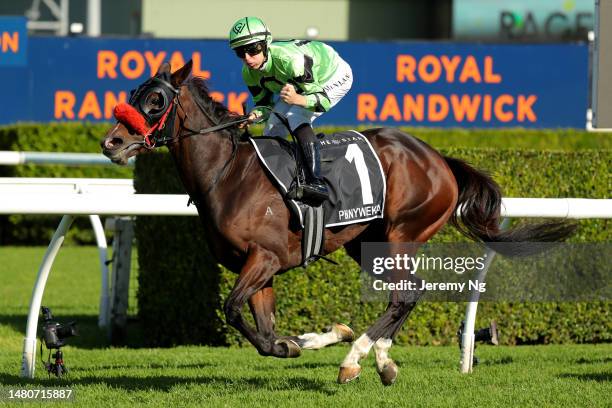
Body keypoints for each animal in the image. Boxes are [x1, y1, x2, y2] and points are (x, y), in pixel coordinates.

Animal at [100, 60, 572, 386]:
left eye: (156, 101)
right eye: (134, 92)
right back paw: (381, 358)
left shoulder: (264, 259)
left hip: (402, 233)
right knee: (406, 293)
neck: (229, 174)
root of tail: (438, 158)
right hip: (366, 244)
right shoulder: (259, 270)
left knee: (406, 293)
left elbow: (233, 310)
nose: (111, 142)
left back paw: (356, 359)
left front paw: (310, 342)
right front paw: (306, 340)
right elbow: (264, 334)